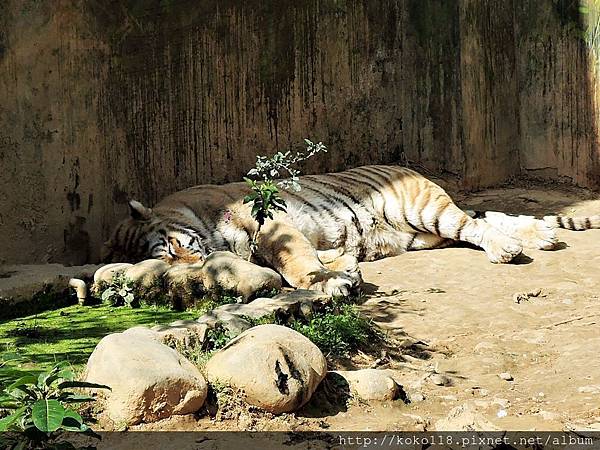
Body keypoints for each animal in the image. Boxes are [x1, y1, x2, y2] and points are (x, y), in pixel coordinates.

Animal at [102, 164, 600, 296]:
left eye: (170, 248)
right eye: (164, 261)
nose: (196, 264)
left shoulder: (271, 223)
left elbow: (295, 262)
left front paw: (327, 281)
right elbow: (320, 257)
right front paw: (344, 269)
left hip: (425, 211)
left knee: (475, 226)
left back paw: (509, 249)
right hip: (423, 234)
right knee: (481, 221)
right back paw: (540, 237)